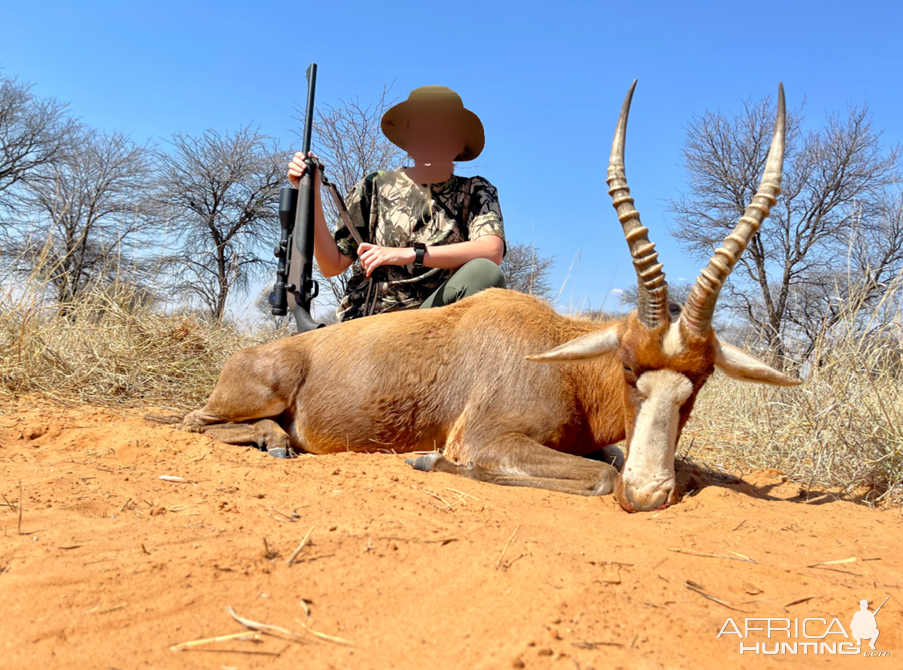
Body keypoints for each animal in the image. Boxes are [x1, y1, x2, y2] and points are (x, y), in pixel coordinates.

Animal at [180, 82, 800, 516]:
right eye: (627, 367)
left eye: (700, 379)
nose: (647, 496)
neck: (561, 360)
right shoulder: (489, 438)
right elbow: (600, 476)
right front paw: (428, 459)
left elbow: (620, 461)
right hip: (253, 394)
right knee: (192, 420)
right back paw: (274, 440)